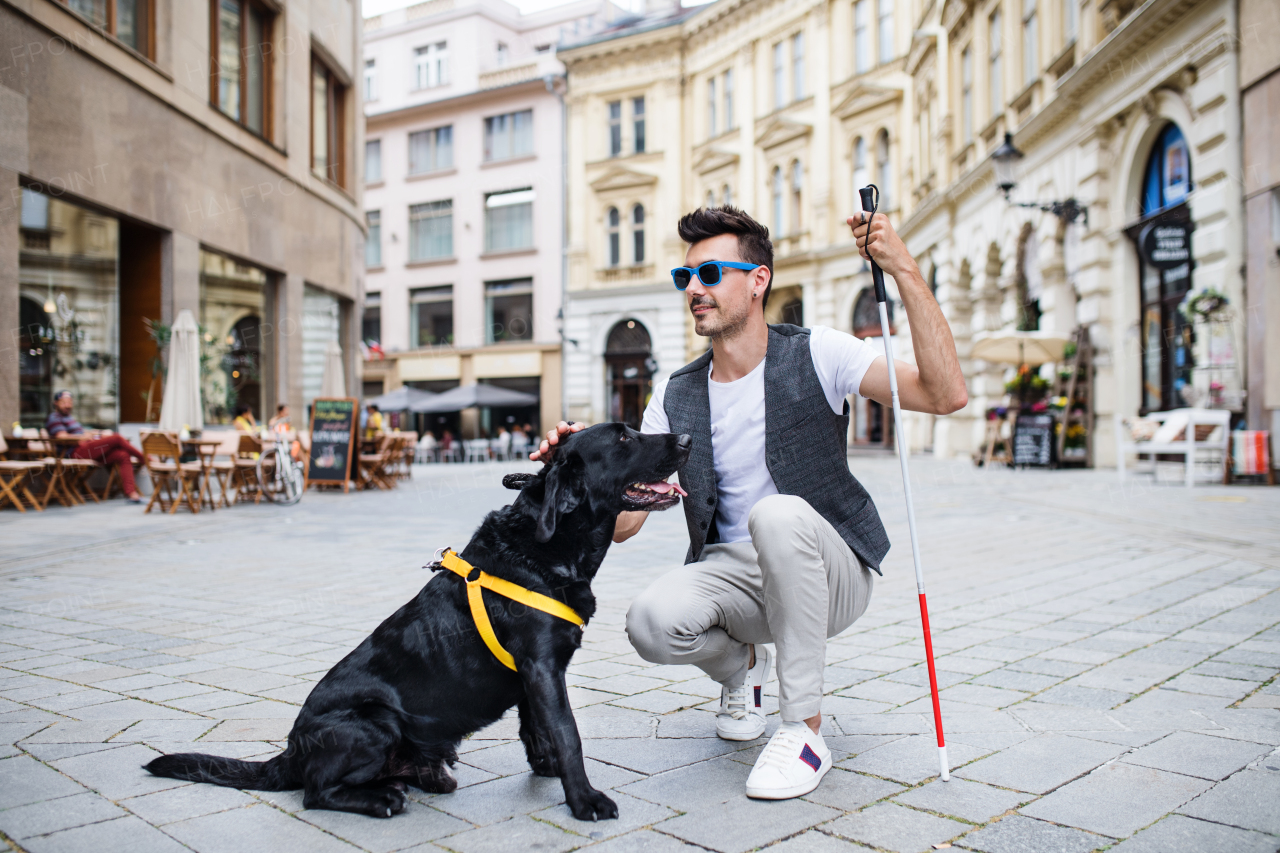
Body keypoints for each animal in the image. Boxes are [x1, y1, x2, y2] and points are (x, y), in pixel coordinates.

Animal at [142, 422, 691, 819]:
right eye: (623, 438)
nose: (686, 438)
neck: (546, 549)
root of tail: (291, 751)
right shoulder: (541, 667)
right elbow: (568, 732)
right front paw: (584, 800)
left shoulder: (533, 675)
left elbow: (538, 729)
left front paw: (547, 769)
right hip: (374, 721)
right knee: (315, 792)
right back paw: (382, 799)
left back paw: (422, 778)